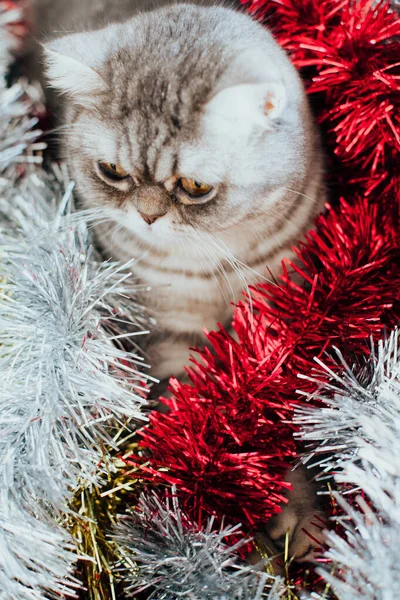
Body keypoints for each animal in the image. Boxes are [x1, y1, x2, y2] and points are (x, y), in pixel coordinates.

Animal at [28, 0, 328, 564]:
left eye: (193, 186)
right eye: (112, 170)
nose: (147, 216)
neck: (213, 264)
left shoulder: (279, 325)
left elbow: (284, 418)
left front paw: (299, 509)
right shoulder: (171, 339)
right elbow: (197, 423)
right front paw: (232, 531)